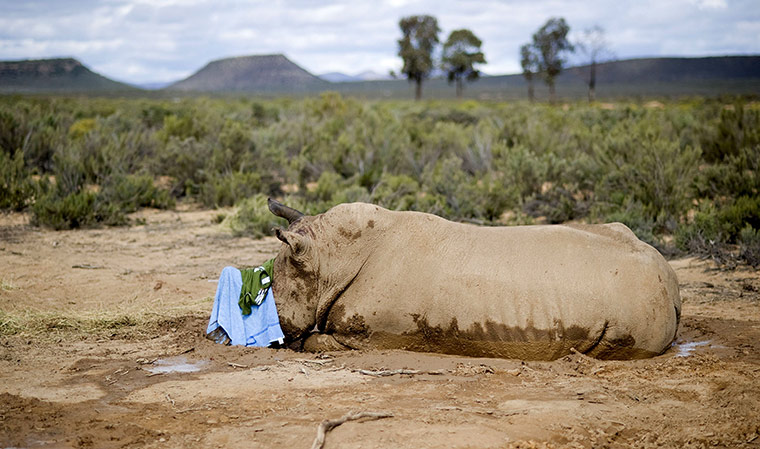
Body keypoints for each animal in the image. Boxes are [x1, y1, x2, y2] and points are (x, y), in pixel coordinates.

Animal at [267, 199, 681, 360]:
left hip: (637, 300)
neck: (327, 254)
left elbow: (314, 342)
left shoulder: (369, 336)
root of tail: (672, 280)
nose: (277, 332)